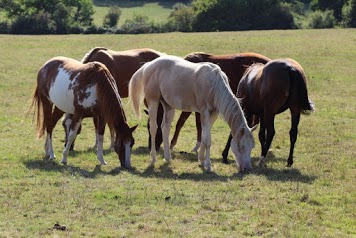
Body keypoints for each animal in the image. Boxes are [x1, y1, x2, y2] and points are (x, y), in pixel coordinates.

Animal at [129, 54, 258, 172]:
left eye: (252, 146)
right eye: (241, 146)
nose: (247, 168)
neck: (214, 84)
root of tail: (148, 65)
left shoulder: (213, 114)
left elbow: (205, 136)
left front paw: (201, 159)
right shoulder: (204, 112)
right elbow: (207, 139)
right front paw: (208, 165)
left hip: (168, 106)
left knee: (165, 128)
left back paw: (168, 158)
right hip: (153, 101)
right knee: (154, 128)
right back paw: (153, 159)